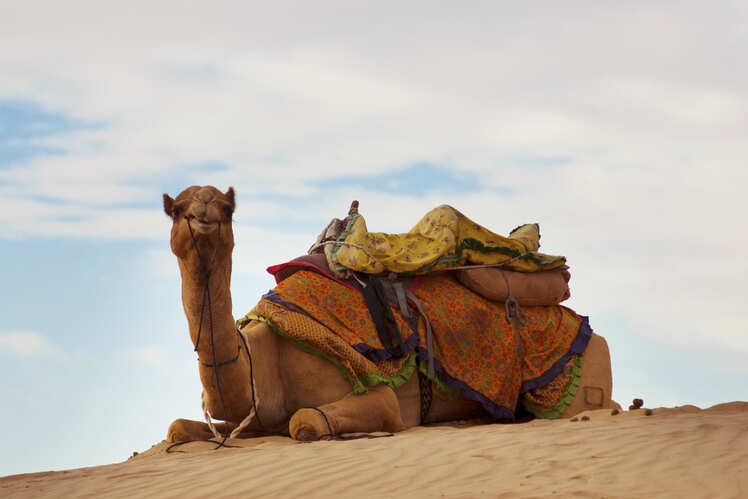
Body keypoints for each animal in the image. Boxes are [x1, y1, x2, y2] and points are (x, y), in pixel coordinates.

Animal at [164, 185, 617, 443]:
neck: (264, 357)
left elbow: (304, 420)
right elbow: (177, 428)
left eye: (227, 207)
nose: (202, 217)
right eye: (177, 208)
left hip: (579, 375)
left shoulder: (376, 391)